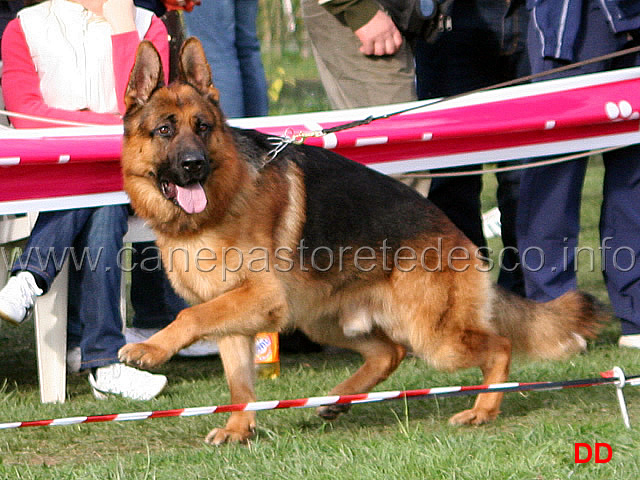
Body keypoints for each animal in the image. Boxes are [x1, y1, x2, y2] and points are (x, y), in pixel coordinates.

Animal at [119, 39, 604, 444]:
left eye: (202, 127)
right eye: (165, 130)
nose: (194, 166)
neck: (212, 210)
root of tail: (458, 235)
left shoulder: (259, 296)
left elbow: (189, 316)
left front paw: (149, 348)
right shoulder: (236, 316)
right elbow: (239, 384)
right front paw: (239, 429)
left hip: (433, 337)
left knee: (497, 345)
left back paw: (483, 410)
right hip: (320, 320)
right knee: (389, 352)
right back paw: (337, 400)